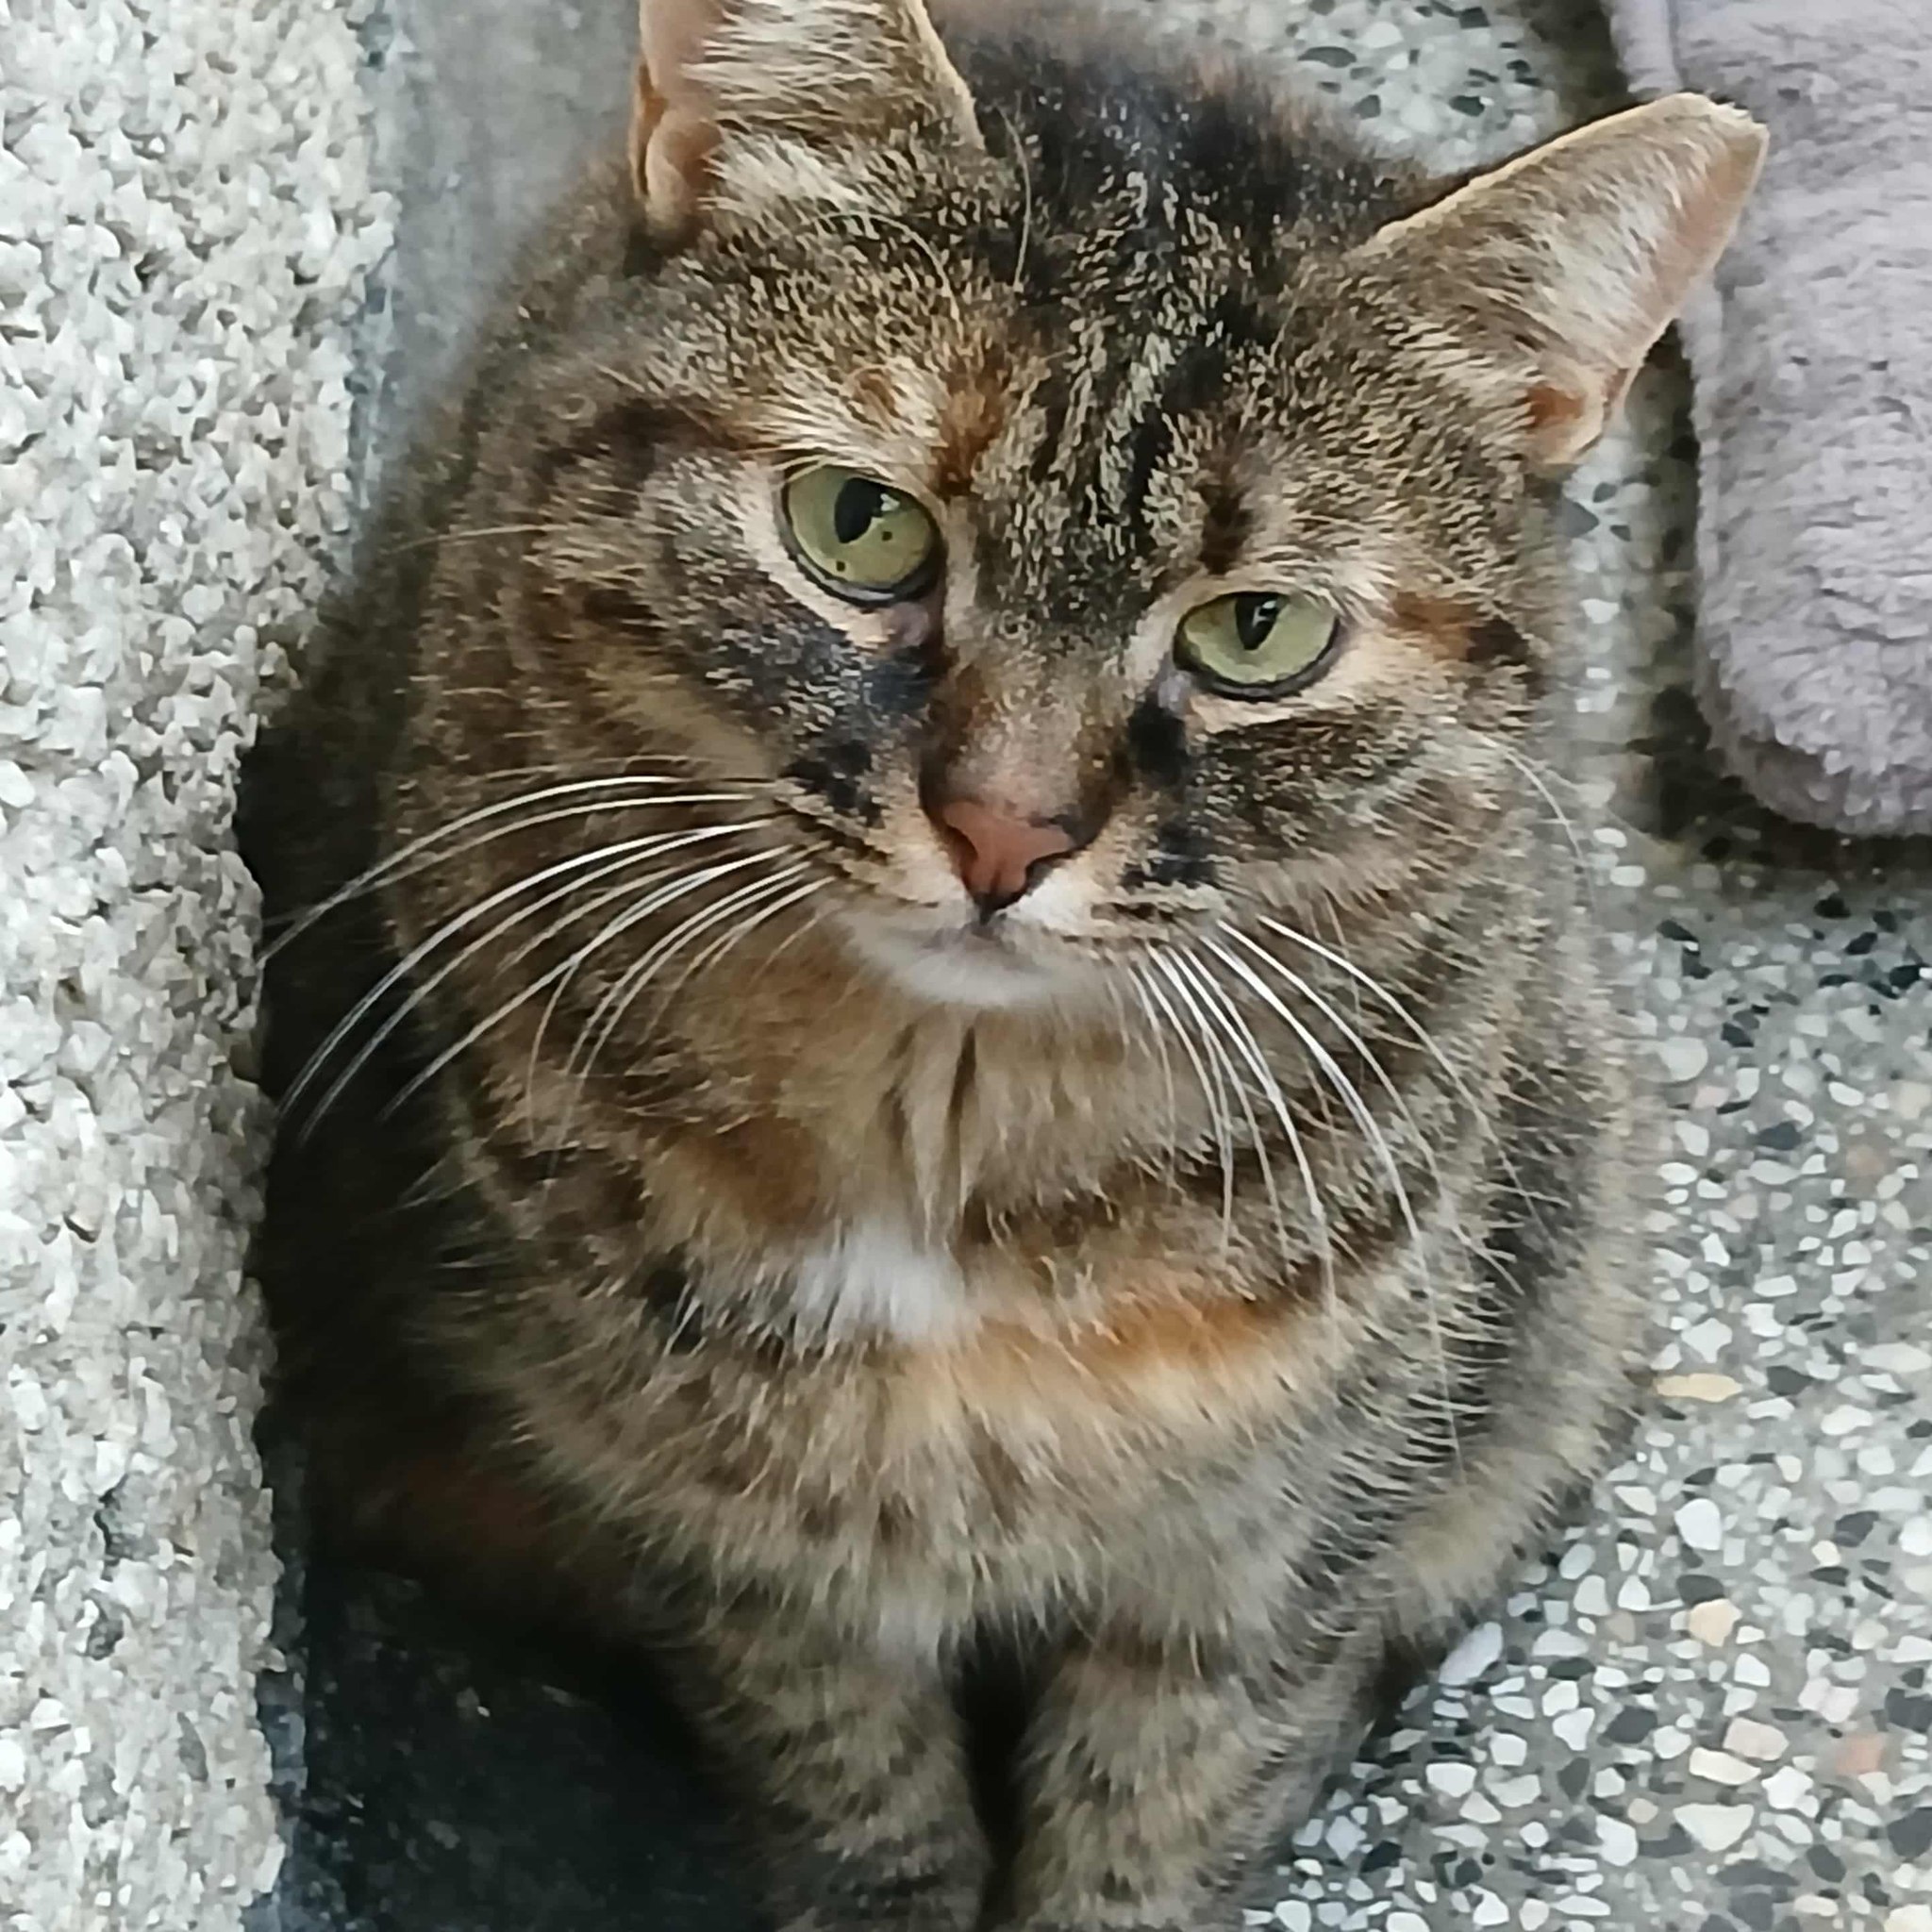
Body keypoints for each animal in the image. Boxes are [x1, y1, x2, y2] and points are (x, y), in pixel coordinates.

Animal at [245, 2, 1764, 1926]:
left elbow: (1161, 1811)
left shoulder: (1266, 1560)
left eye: (1256, 632)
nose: (1001, 832)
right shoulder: (745, 1545)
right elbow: (855, 1794)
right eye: (858, 525)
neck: (944, 1136)